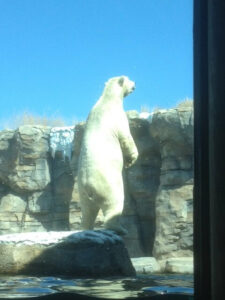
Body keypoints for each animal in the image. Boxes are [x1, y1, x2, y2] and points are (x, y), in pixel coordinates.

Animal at [78, 75, 139, 234]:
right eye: (129, 79)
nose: (135, 84)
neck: (107, 99)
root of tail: (89, 185)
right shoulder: (118, 118)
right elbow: (126, 138)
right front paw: (131, 160)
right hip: (108, 184)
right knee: (114, 203)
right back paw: (120, 228)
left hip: (82, 193)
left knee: (87, 211)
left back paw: (86, 228)